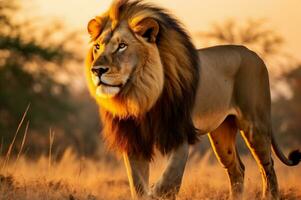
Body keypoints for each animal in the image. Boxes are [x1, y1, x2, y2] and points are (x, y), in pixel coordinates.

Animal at [85, 0, 300, 199]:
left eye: (122, 46)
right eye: (97, 47)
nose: (97, 70)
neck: (141, 94)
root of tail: (254, 53)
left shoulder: (180, 132)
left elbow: (170, 179)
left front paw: (156, 192)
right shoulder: (133, 138)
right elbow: (137, 183)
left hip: (255, 124)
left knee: (267, 165)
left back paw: (270, 195)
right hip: (222, 134)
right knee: (237, 168)